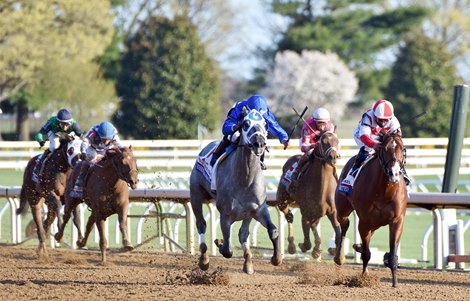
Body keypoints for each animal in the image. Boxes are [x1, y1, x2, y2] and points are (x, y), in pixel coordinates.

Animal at [189, 109, 280, 274]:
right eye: (245, 124)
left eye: (265, 124)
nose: (259, 143)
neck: (245, 179)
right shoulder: (225, 214)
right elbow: (227, 250)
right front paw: (219, 242)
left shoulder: (258, 209)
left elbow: (273, 231)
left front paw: (275, 259)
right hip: (196, 196)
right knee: (201, 224)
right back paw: (204, 259)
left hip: (247, 214)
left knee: (242, 234)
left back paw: (248, 262)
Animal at [272, 130, 342, 258]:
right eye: (323, 142)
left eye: (337, 141)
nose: (334, 156)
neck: (323, 187)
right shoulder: (305, 211)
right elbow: (307, 240)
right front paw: (304, 246)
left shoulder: (332, 211)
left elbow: (338, 233)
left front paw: (330, 251)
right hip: (282, 200)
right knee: (289, 216)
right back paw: (292, 246)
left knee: (313, 224)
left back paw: (317, 247)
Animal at [334, 133, 408, 286]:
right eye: (384, 149)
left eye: (402, 148)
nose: (394, 173)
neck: (385, 191)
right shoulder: (364, 222)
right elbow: (366, 254)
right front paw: (363, 279)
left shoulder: (397, 221)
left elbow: (393, 254)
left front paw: (395, 283)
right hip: (343, 208)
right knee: (344, 224)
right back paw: (339, 257)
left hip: (375, 223)